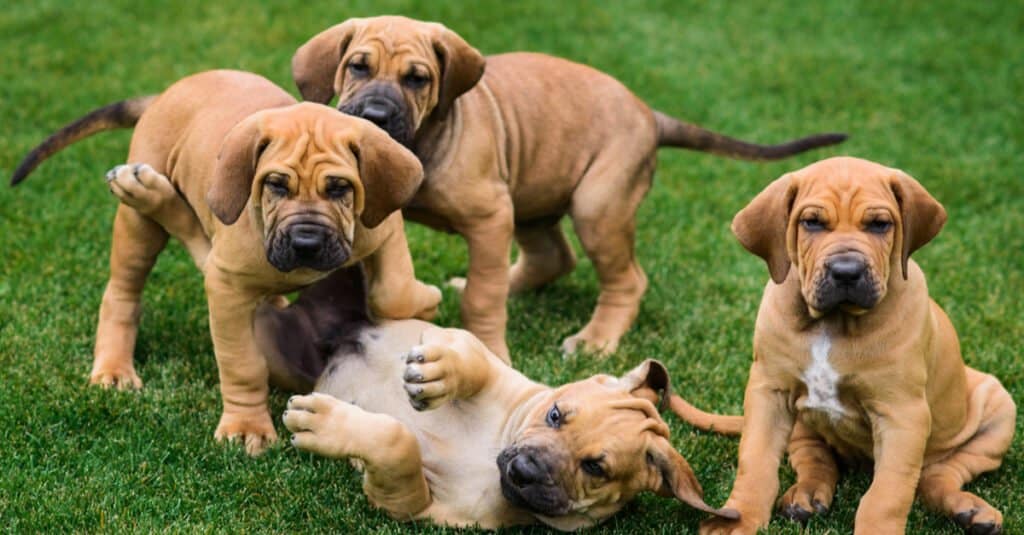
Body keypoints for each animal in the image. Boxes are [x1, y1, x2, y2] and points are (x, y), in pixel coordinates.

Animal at [11, 69, 444, 453]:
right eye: (275, 185)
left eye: (339, 188)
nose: (306, 243)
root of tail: (165, 94)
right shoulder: (227, 289)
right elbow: (242, 364)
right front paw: (246, 427)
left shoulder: (385, 229)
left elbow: (394, 293)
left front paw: (424, 299)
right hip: (139, 231)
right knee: (124, 291)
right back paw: (115, 364)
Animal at [290, 15, 847, 358]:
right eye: (357, 66)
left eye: (417, 79)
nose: (375, 116)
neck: (426, 138)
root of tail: (650, 115)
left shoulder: (489, 216)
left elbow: (484, 298)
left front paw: (489, 349)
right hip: (534, 198)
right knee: (551, 257)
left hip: (597, 207)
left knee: (625, 280)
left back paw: (596, 339)